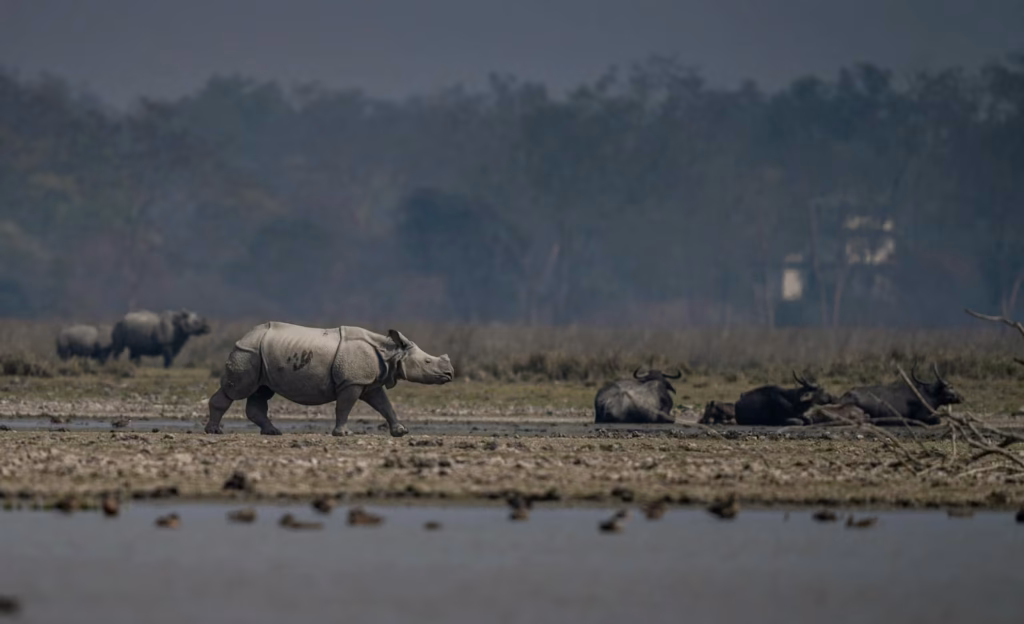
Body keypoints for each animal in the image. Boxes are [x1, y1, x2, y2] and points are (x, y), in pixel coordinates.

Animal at [204, 322, 454, 437]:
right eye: (428, 362)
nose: (450, 374)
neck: (390, 352)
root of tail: (244, 335)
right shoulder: (352, 382)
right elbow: (344, 406)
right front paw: (343, 434)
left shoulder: (369, 383)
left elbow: (385, 405)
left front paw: (401, 432)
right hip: (248, 352)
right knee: (236, 390)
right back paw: (214, 432)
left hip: (260, 355)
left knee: (261, 391)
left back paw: (273, 432)